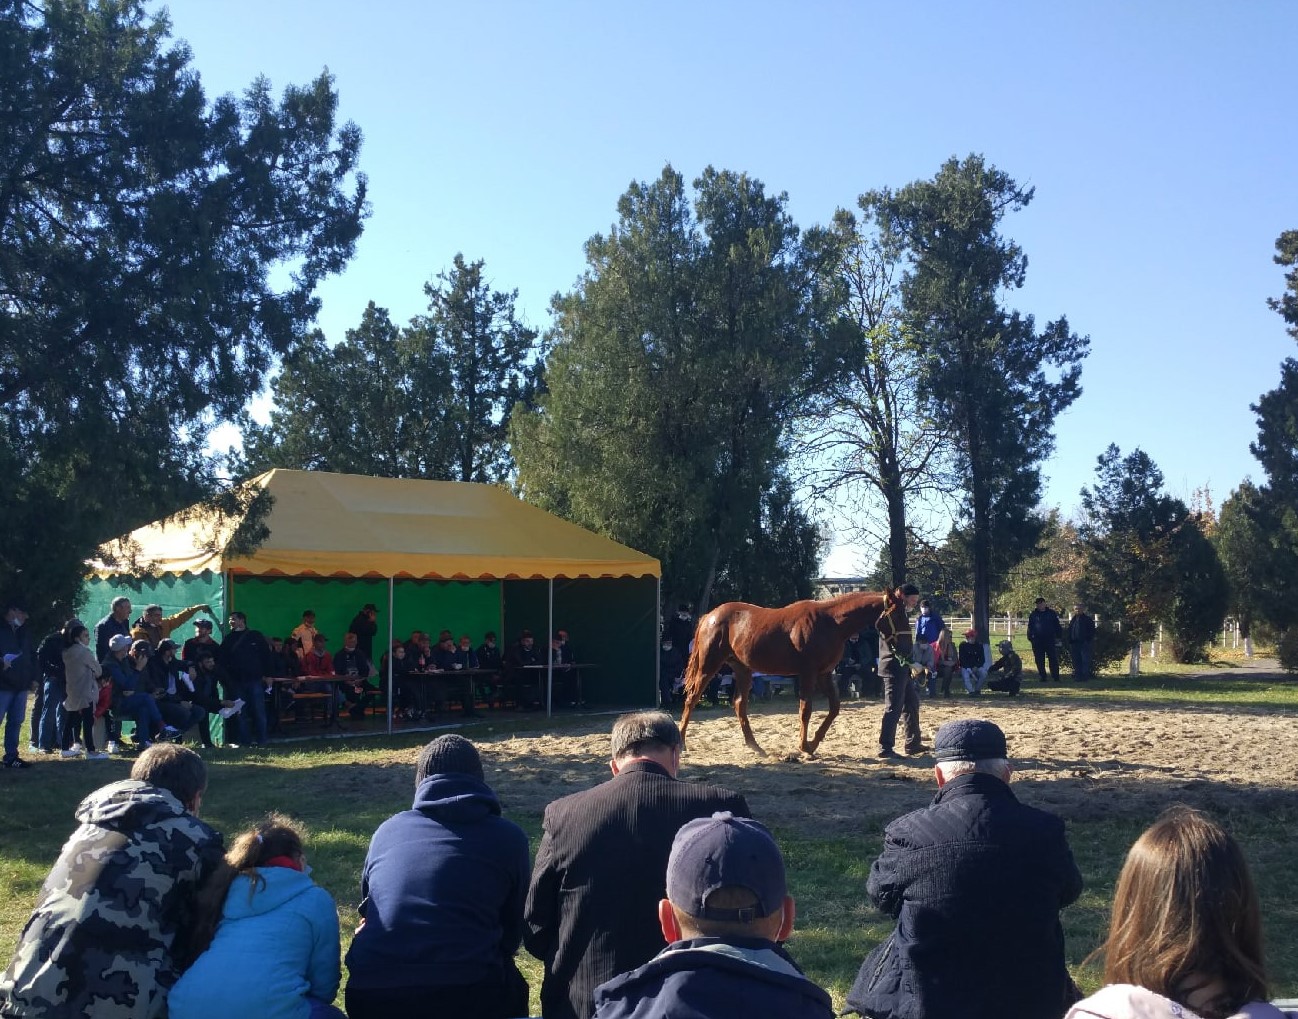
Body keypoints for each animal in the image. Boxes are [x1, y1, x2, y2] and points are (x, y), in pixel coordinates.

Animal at [680, 589, 913, 752]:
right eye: (897, 616)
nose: (907, 648)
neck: (830, 622)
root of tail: (710, 615)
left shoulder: (824, 674)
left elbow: (834, 708)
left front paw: (814, 743)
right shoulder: (808, 673)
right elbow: (805, 710)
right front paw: (803, 746)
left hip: (743, 669)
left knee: (739, 704)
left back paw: (756, 746)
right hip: (709, 666)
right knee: (692, 698)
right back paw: (681, 742)